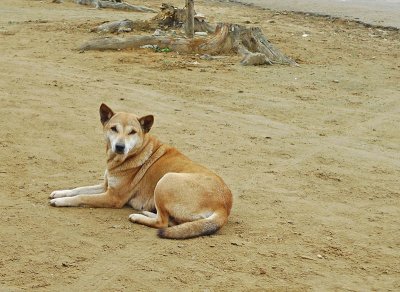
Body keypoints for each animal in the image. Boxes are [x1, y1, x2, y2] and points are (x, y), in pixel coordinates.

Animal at [49, 104, 233, 238]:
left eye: (132, 132)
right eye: (114, 128)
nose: (120, 147)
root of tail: (224, 206)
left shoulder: (113, 197)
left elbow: (81, 197)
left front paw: (60, 201)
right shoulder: (105, 186)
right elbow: (78, 189)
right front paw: (59, 193)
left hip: (166, 180)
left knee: (163, 222)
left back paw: (138, 216)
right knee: (172, 221)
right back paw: (145, 212)